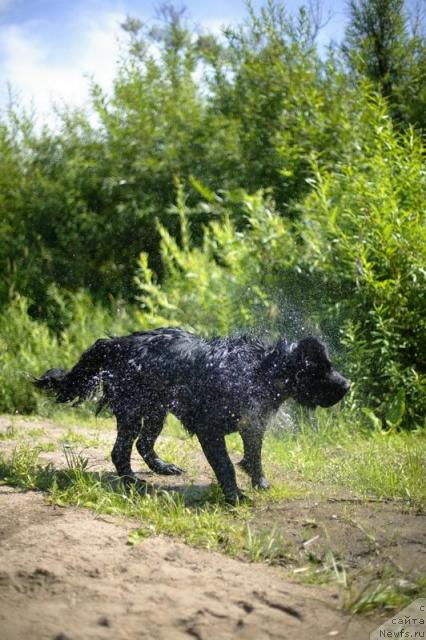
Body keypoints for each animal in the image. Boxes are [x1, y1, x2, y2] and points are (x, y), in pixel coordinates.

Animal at [34, 328, 350, 502]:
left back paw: (163, 468)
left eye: (330, 365)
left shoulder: (253, 423)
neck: (258, 370)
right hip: (133, 410)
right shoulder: (209, 430)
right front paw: (235, 496)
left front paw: (259, 483)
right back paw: (132, 481)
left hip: (156, 411)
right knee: (121, 450)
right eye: (319, 369)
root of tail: (116, 343)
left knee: (143, 444)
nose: (347, 385)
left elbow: (254, 456)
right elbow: (226, 465)